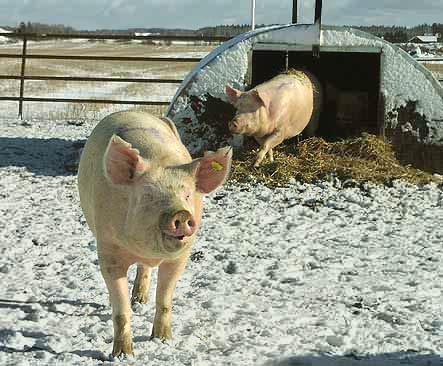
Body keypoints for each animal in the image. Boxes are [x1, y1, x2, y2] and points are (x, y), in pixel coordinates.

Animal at [77, 111, 232, 358]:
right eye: (148, 195)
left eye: (187, 195)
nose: (180, 213)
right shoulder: (108, 251)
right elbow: (121, 310)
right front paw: (123, 355)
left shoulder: (181, 257)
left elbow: (165, 299)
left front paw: (162, 340)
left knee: (145, 270)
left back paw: (141, 300)